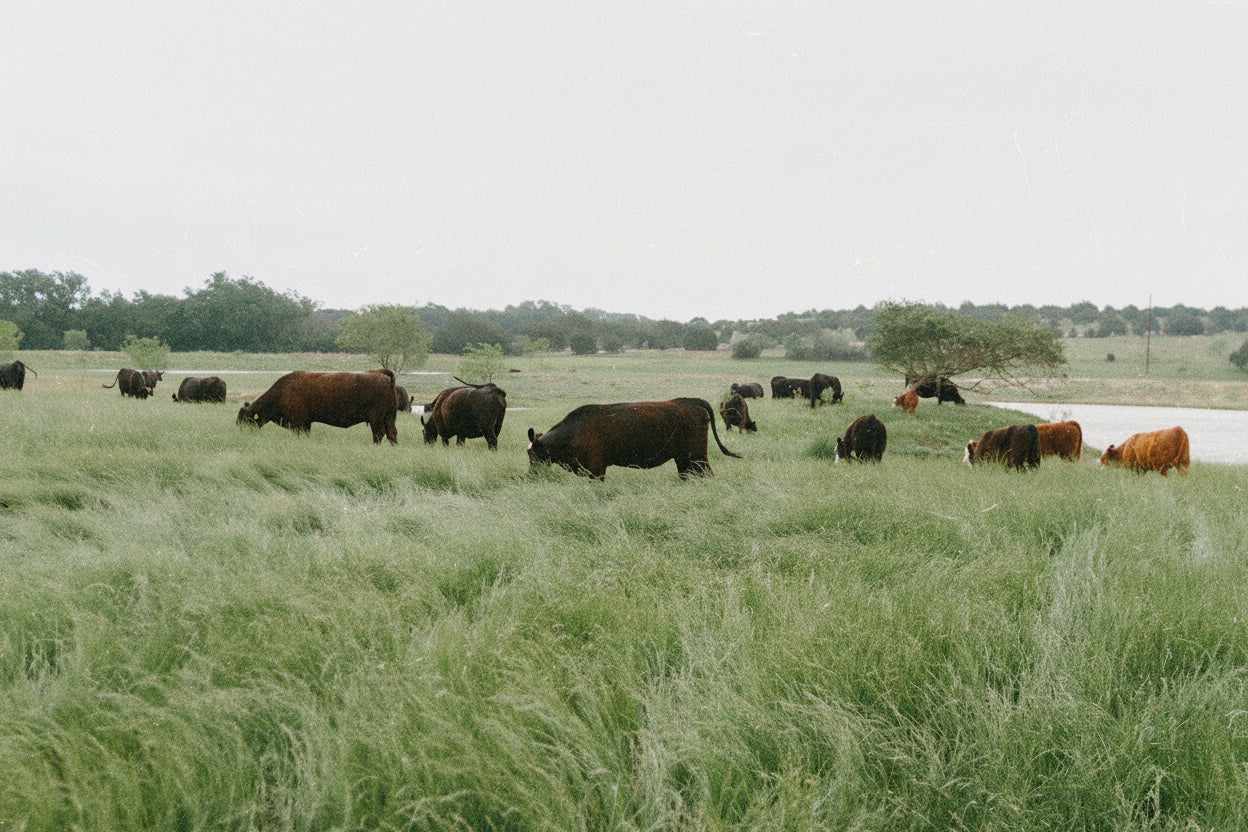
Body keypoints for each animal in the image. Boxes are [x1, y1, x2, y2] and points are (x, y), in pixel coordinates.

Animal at [237, 370, 398, 444]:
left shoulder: (299, 423)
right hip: (388, 418)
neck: (282, 390)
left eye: (245, 419)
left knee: (379, 434)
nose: (241, 434)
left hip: (376, 419)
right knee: (392, 433)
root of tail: (382, 375)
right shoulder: (306, 424)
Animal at [527, 397, 741, 480]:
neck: (574, 432)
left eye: (532, 455)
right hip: (683, 459)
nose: (530, 475)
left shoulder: (597, 470)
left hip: (698, 456)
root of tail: (689, 401)